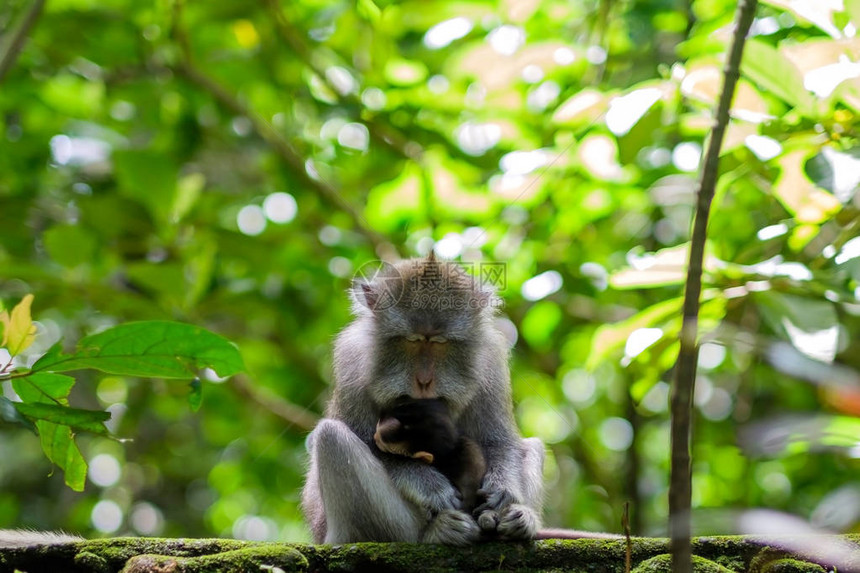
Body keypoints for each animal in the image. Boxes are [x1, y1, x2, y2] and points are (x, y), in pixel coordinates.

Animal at [302, 256, 544, 544]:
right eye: (412, 339)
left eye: (440, 342)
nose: (424, 380)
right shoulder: (351, 358)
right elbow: (368, 441)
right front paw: (431, 486)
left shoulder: (491, 360)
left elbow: (499, 440)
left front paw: (502, 488)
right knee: (332, 437)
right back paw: (434, 532)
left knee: (533, 445)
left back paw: (520, 520)